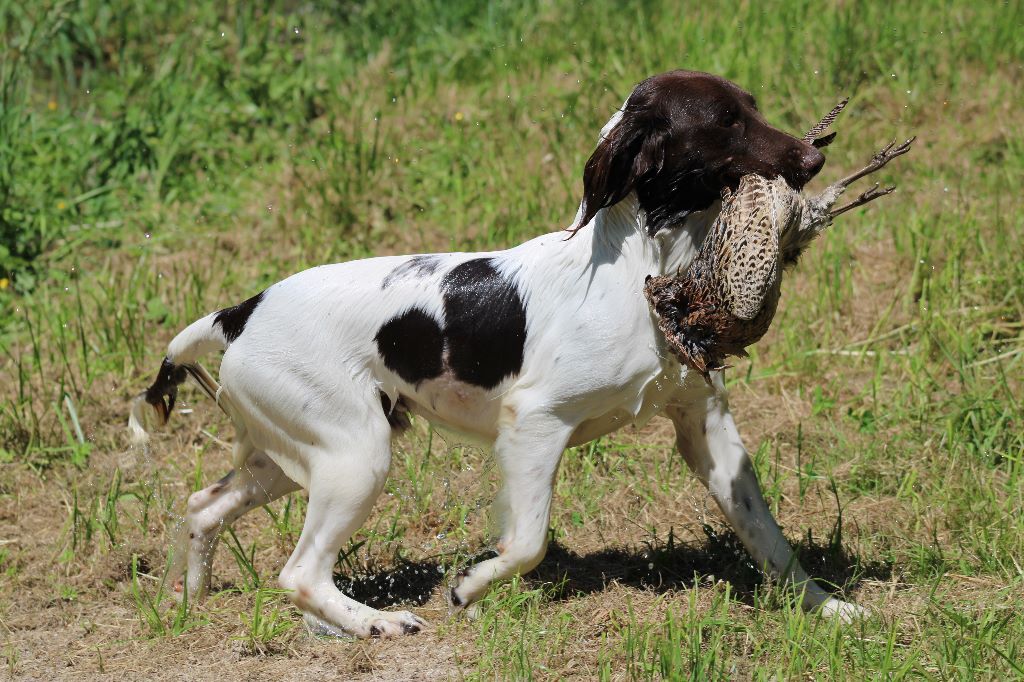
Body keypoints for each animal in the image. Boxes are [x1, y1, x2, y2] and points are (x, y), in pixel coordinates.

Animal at [130, 70, 864, 638]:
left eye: (753, 105)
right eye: (724, 120)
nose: (814, 160)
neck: (641, 267)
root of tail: (240, 312)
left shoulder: (704, 422)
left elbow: (768, 537)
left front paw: (829, 609)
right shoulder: (536, 424)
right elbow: (527, 541)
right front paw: (471, 586)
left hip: (291, 455)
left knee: (202, 506)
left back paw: (189, 600)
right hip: (355, 454)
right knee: (300, 571)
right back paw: (377, 624)